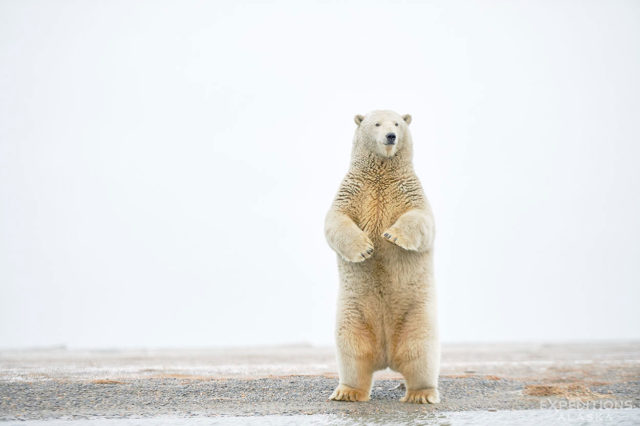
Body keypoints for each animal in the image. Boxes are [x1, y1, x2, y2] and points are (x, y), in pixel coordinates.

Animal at [324, 109, 440, 402]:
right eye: (376, 123)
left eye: (397, 123)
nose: (391, 136)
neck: (381, 174)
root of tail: (387, 356)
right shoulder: (353, 190)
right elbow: (335, 220)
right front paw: (365, 248)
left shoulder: (409, 190)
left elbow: (421, 219)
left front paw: (391, 236)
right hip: (352, 313)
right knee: (351, 351)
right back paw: (347, 391)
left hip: (417, 313)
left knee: (421, 351)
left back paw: (420, 394)